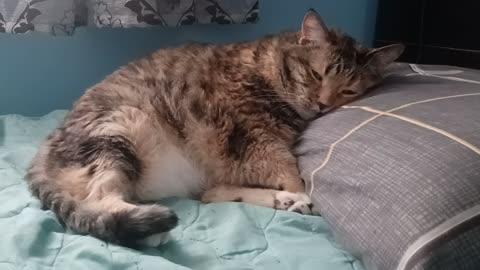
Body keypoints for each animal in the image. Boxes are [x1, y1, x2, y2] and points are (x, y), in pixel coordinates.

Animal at [24, 9, 404, 248]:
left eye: (350, 91)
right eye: (316, 74)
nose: (323, 104)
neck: (270, 66)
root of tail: (42, 151)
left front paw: (294, 197)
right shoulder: (252, 135)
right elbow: (289, 169)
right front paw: (299, 192)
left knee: (208, 194)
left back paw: (282, 200)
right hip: (118, 130)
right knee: (99, 199)